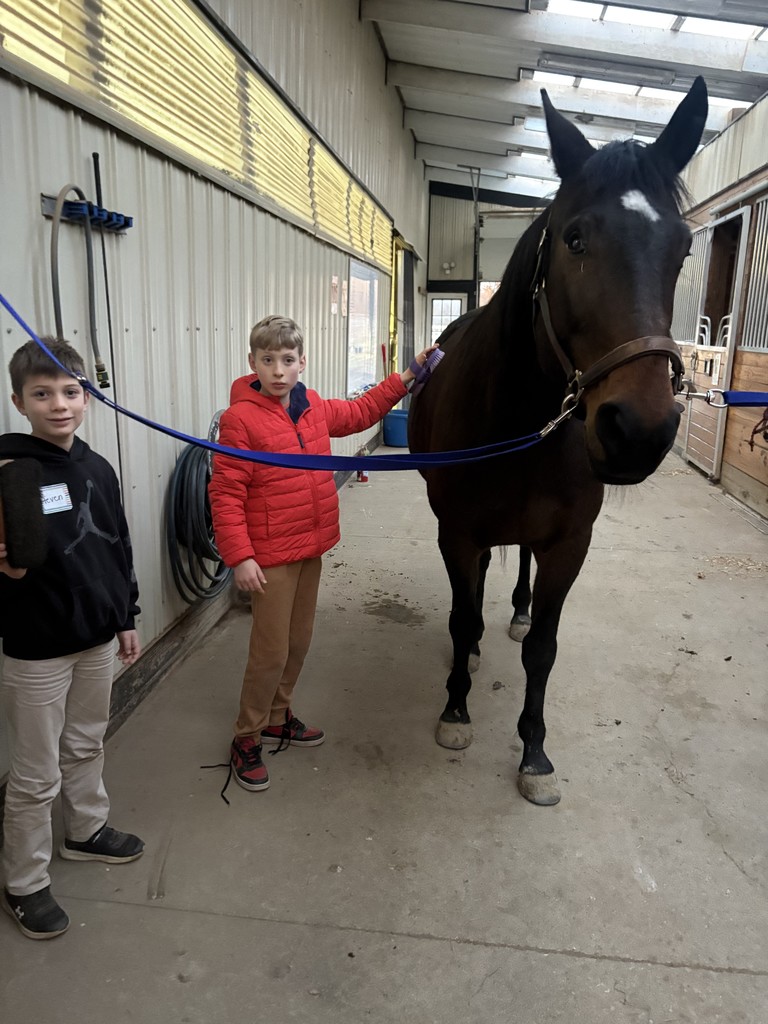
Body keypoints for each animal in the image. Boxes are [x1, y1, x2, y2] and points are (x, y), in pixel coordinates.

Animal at [408, 77, 708, 807]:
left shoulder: (570, 544)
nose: (638, 431)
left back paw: (514, 613)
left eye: (683, 248)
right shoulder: (457, 532)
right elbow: (461, 617)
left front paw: (535, 751)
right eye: (574, 238)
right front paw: (456, 708)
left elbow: (542, 647)